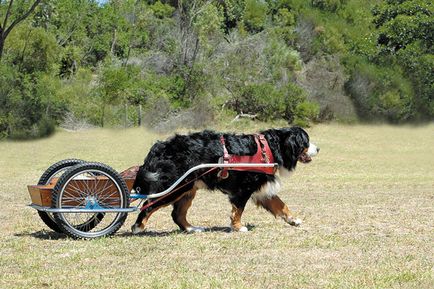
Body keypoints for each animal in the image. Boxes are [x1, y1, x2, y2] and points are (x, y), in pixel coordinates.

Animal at [132, 126, 318, 232]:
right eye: (306, 142)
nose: (318, 149)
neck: (269, 149)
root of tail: (160, 147)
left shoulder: (262, 190)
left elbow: (281, 205)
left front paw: (293, 220)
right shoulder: (243, 189)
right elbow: (238, 210)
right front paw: (238, 227)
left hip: (188, 189)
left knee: (177, 214)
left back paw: (191, 228)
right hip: (174, 187)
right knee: (148, 205)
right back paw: (138, 227)